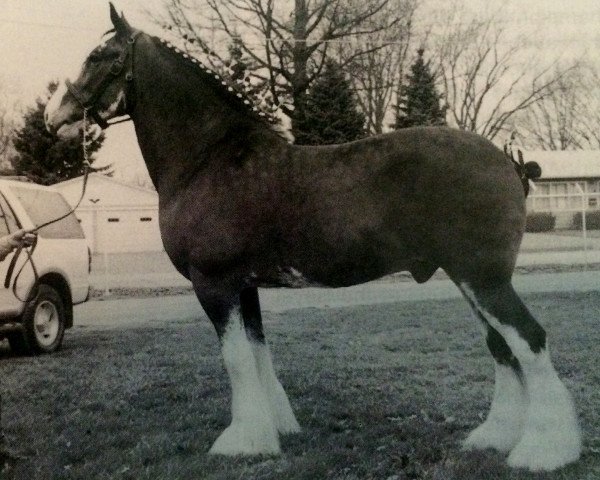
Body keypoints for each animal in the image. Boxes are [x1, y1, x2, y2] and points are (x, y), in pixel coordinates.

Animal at [45, 2, 580, 468]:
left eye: (101, 57)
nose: (55, 117)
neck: (209, 158)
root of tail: (509, 163)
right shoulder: (245, 286)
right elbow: (257, 354)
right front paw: (275, 429)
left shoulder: (214, 283)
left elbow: (236, 360)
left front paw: (241, 442)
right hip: (471, 278)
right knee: (502, 347)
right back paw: (496, 438)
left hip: (482, 277)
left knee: (528, 339)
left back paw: (543, 451)